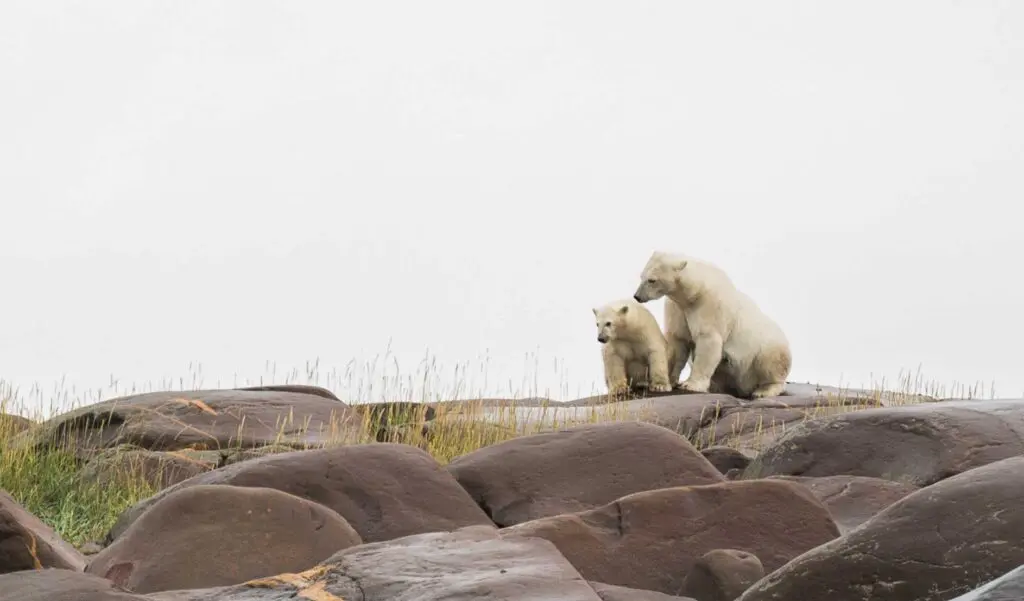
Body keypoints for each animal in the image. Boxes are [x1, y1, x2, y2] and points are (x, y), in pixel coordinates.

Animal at [630, 252, 790, 399]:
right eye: (641, 276)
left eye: (652, 280)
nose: (637, 296)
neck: (694, 292)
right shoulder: (677, 308)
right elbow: (678, 340)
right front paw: (662, 383)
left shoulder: (710, 305)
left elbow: (708, 341)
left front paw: (690, 384)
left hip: (765, 347)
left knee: (770, 362)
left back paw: (764, 390)